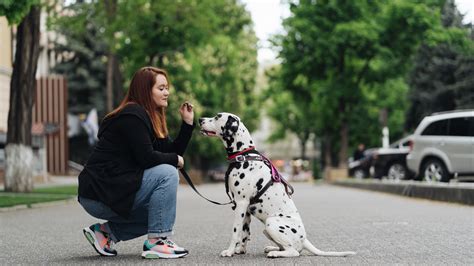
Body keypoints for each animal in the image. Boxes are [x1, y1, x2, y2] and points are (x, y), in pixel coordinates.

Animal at [197, 112, 356, 258]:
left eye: (217, 117)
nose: (200, 119)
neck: (243, 155)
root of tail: (304, 239)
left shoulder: (241, 203)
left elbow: (235, 231)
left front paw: (229, 251)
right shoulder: (245, 209)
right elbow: (245, 232)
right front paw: (239, 250)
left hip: (271, 223)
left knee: (294, 252)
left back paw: (275, 254)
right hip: (267, 229)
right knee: (290, 248)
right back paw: (272, 248)